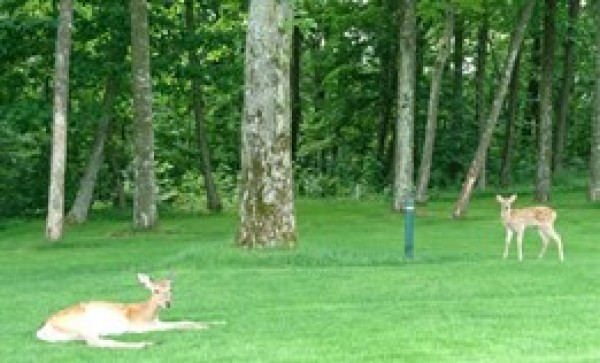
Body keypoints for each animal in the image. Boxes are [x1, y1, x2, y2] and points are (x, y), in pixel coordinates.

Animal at [35, 272, 218, 350]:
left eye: (171, 289)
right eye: (155, 290)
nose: (168, 304)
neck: (147, 315)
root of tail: (42, 330)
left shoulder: (157, 322)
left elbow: (184, 321)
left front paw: (214, 322)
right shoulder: (140, 327)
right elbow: (175, 326)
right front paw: (203, 327)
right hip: (82, 324)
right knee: (94, 342)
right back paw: (147, 344)